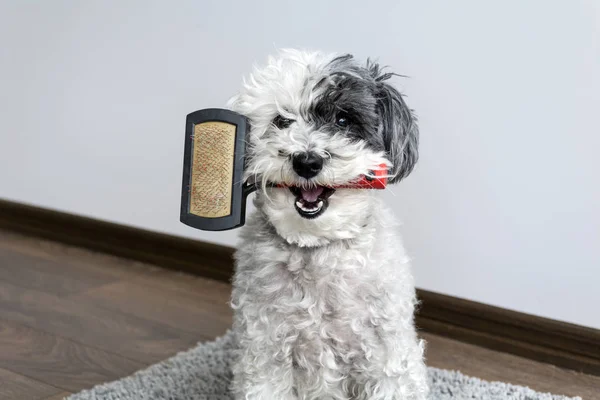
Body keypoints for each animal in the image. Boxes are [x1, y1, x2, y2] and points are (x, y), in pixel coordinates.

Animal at [227, 50, 428, 400]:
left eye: (343, 120)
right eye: (282, 121)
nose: (307, 161)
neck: (317, 248)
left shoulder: (387, 357)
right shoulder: (264, 352)